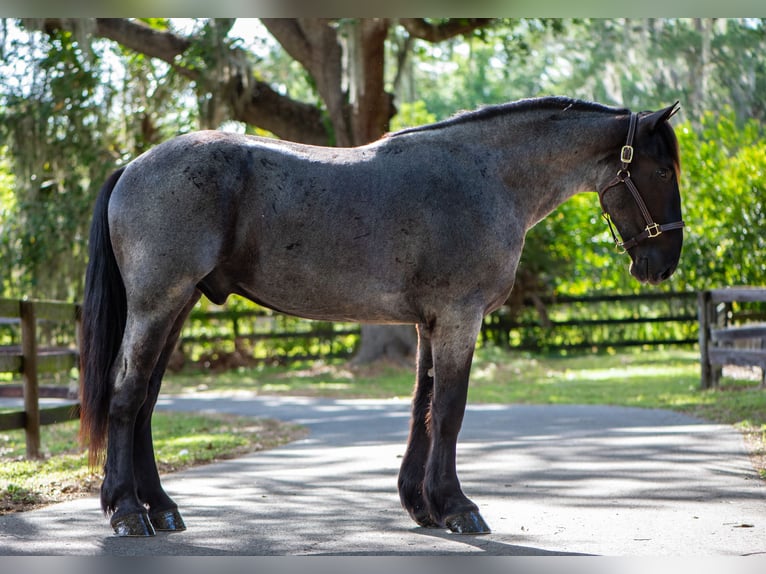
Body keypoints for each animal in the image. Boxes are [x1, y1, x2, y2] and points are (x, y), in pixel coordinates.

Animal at [79, 96, 684, 537]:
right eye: (660, 171)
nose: (664, 263)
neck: (487, 176)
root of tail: (133, 165)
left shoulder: (429, 323)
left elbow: (422, 407)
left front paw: (423, 505)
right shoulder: (459, 317)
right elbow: (449, 410)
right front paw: (457, 507)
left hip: (178, 306)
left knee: (147, 402)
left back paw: (161, 507)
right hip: (158, 303)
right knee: (127, 395)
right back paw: (127, 512)